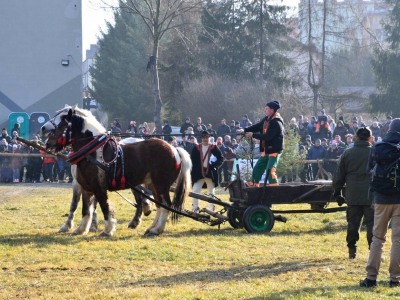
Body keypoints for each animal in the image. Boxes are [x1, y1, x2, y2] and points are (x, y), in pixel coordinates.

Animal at [41, 106, 191, 236]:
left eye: (62, 122)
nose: (46, 139)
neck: (92, 151)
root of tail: (174, 149)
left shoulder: (98, 187)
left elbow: (104, 207)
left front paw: (108, 229)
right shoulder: (86, 187)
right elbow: (85, 209)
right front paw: (81, 229)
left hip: (161, 185)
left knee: (165, 205)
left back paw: (156, 229)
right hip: (153, 185)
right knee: (159, 205)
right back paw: (152, 227)